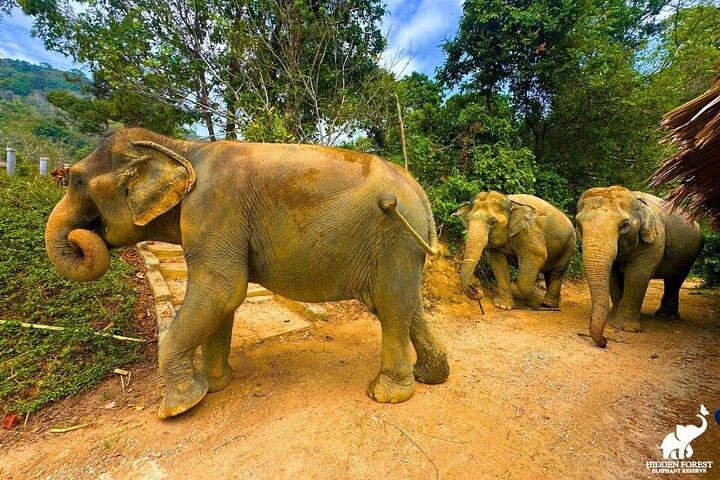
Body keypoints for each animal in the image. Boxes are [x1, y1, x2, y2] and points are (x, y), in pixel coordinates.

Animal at [44, 128, 450, 418]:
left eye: (76, 181)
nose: (83, 236)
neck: (180, 148)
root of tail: (420, 193)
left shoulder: (213, 208)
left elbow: (221, 290)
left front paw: (178, 408)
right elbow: (219, 301)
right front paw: (215, 385)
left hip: (395, 235)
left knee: (392, 307)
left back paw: (387, 395)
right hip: (400, 245)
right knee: (406, 305)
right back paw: (430, 377)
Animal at [575, 186, 704, 347]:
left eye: (624, 225)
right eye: (579, 224)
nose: (605, 340)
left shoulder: (655, 242)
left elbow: (637, 276)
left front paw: (626, 328)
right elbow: (613, 277)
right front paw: (613, 319)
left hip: (690, 255)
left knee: (675, 280)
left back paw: (666, 316)